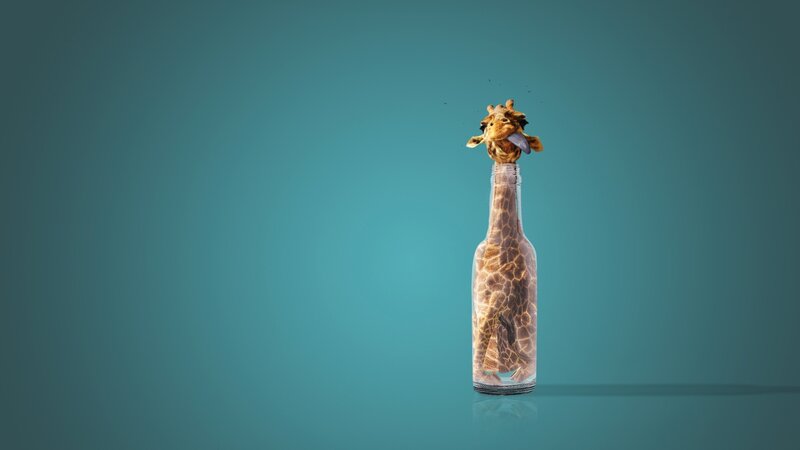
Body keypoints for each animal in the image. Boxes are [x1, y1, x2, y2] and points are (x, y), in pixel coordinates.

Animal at [466, 99, 541, 390]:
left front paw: (505, 378)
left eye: (523, 120)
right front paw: (486, 378)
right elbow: (481, 337)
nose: (505, 128)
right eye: (483, 125)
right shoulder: (485, 299)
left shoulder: (502, 298)